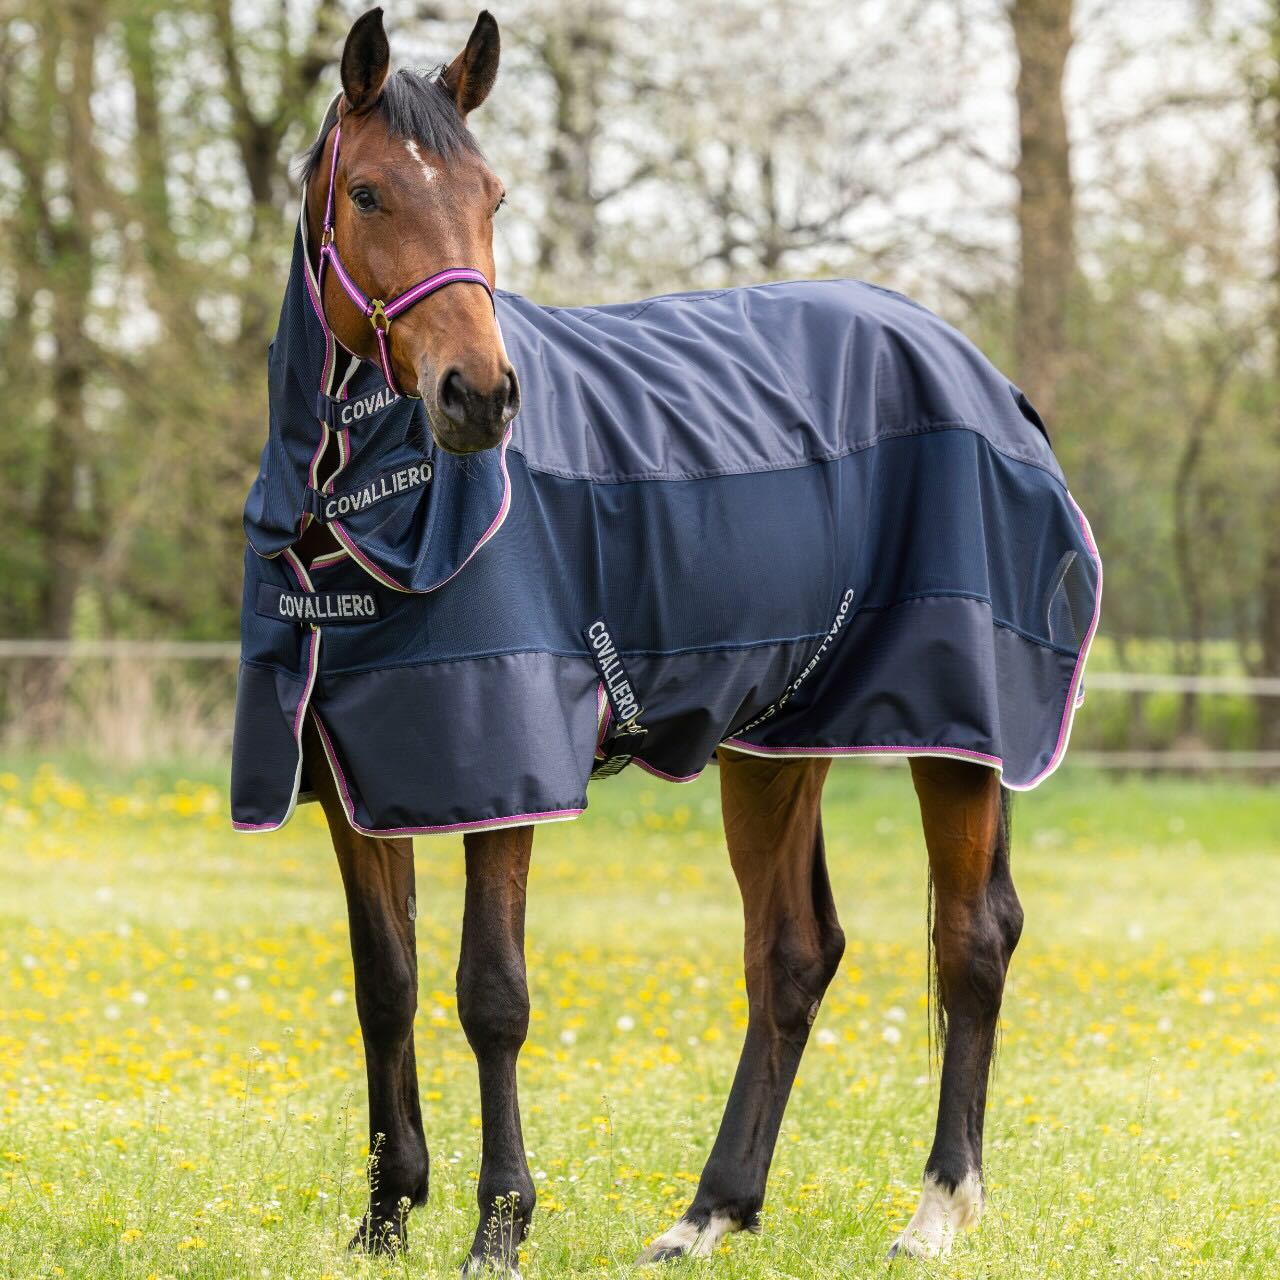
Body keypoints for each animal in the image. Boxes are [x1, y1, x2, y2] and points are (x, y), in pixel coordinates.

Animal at [231, 8, 1099, 1273]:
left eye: (490, 196)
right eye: (372, 194)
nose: (479, 396)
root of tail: (987, 380)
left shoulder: (506, 768)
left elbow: (490, 992)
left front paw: (499, 1224)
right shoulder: (358, 777)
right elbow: (384, 983)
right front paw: (386, 1213)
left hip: (956, 730)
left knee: (971, 939)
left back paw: (936, 1206)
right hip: (778, 739)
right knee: (790, 952)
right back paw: (709, 1210)